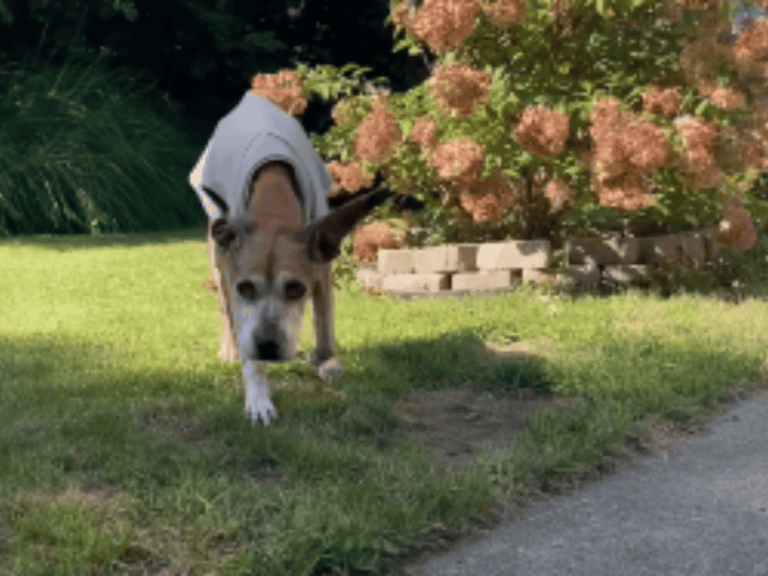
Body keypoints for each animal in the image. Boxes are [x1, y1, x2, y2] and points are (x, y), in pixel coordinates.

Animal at [189, 92, 388, 426]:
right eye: (246, 288)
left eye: (295, 288)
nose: (267, 347)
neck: (273, 208)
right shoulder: (233, 280)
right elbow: (242, 333)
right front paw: (258, 396)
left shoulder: (321, 267)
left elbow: (325, 328)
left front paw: (325, 360)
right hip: (218, 254)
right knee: (224, 309)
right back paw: (230, 349)